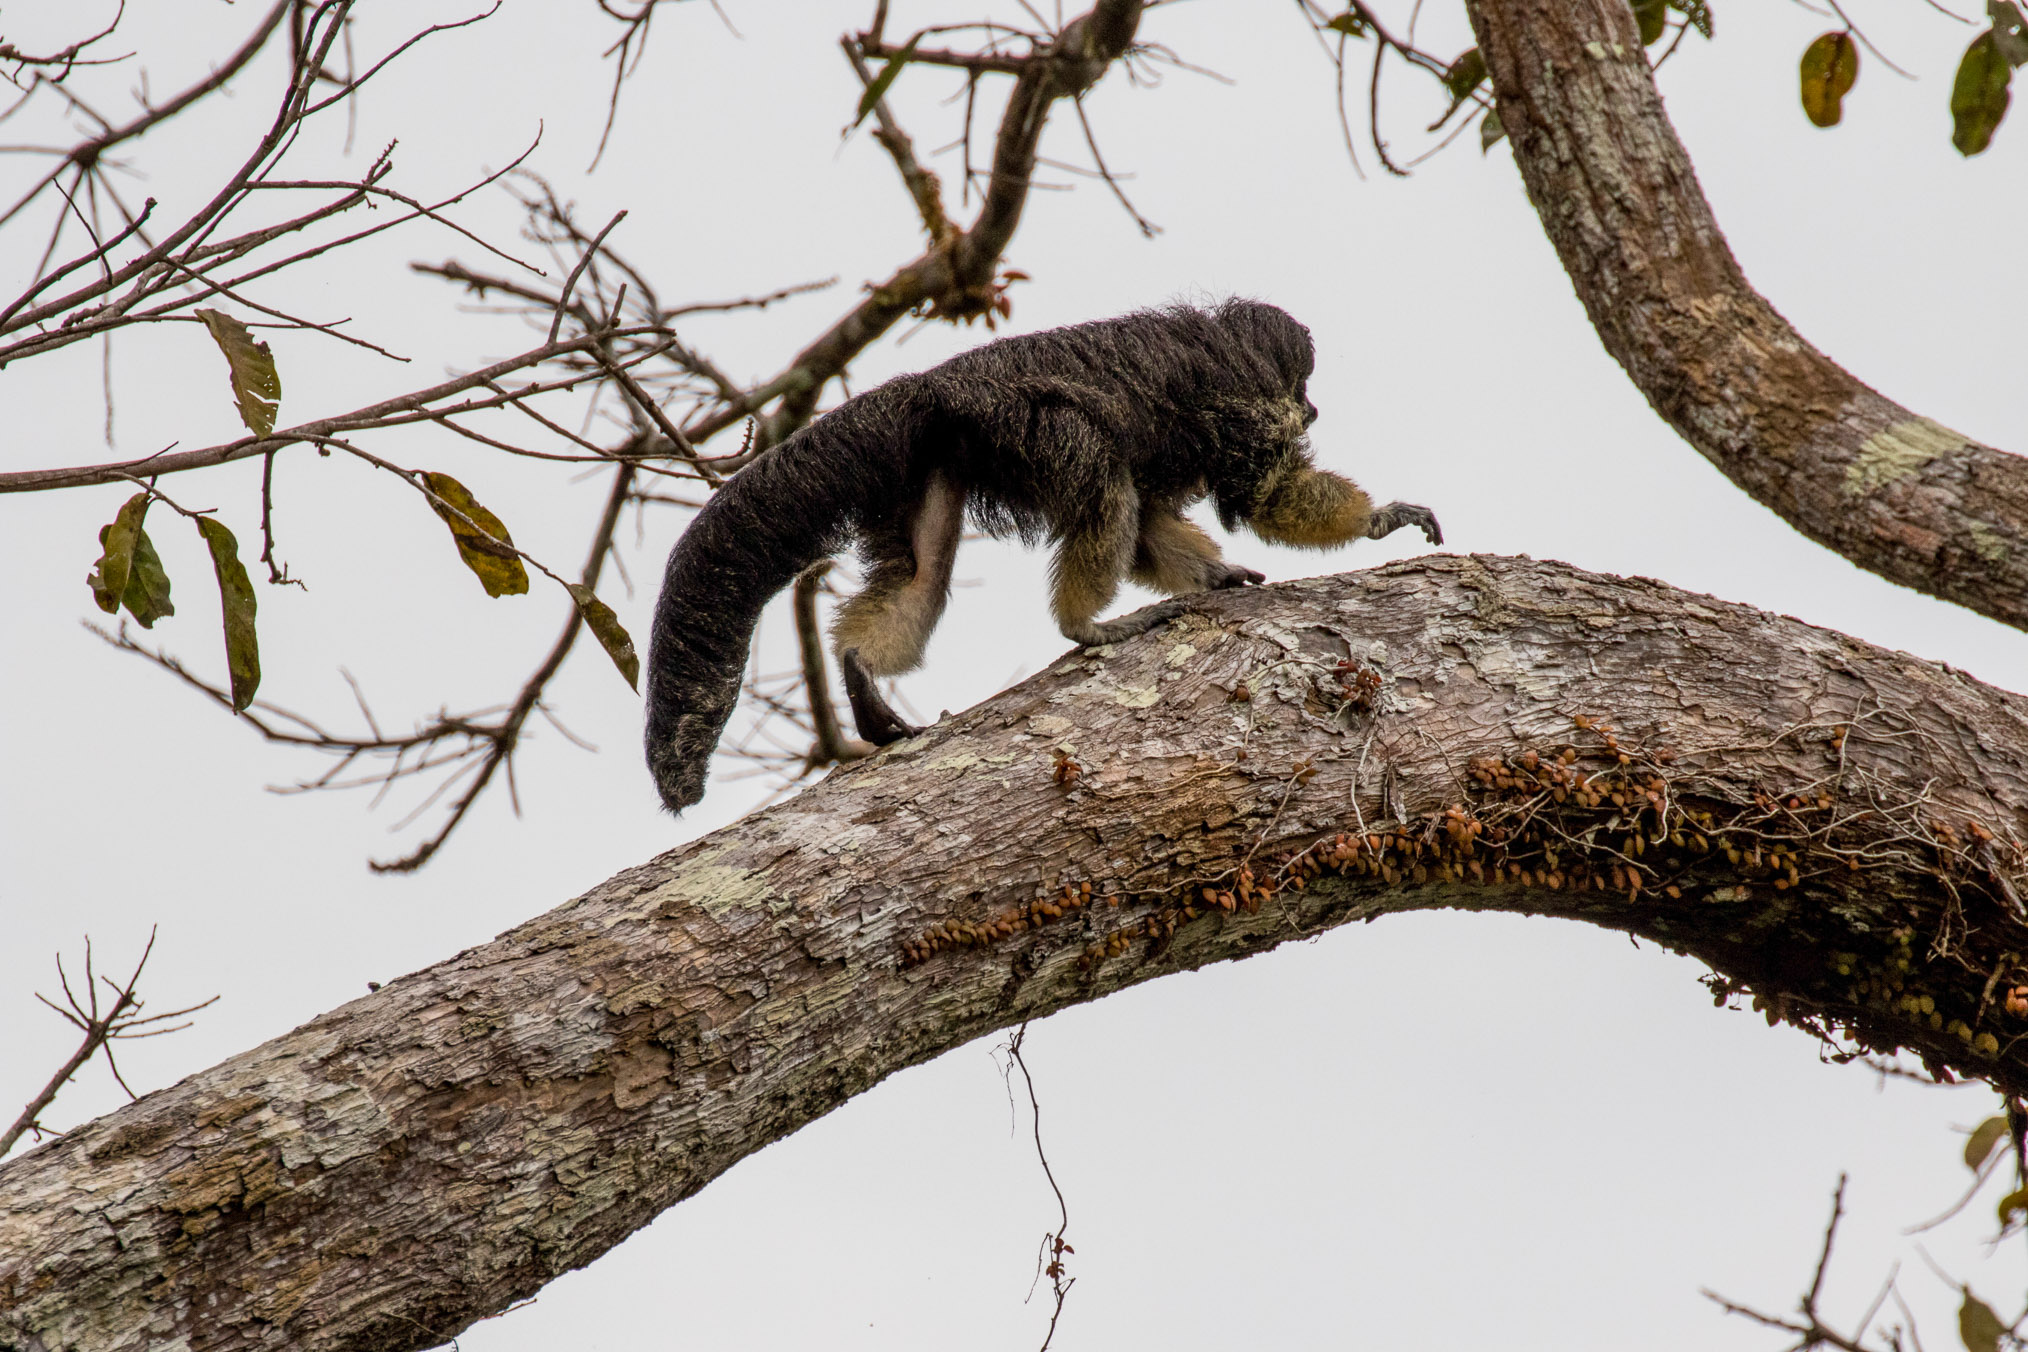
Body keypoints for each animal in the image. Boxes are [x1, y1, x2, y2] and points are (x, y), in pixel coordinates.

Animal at [644, 299, 1440, 814]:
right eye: (1302, 387)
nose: (1312, 409)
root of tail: (931, 386)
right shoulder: (1246, 401)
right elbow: (1263, 496)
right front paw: (1382, 519)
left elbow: (1151, 525)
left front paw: (1216, 575)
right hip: (1020, 425)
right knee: (1099, 476)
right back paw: (1084, 627)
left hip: (937, 455)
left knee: (924, 571)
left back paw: (861, 672)